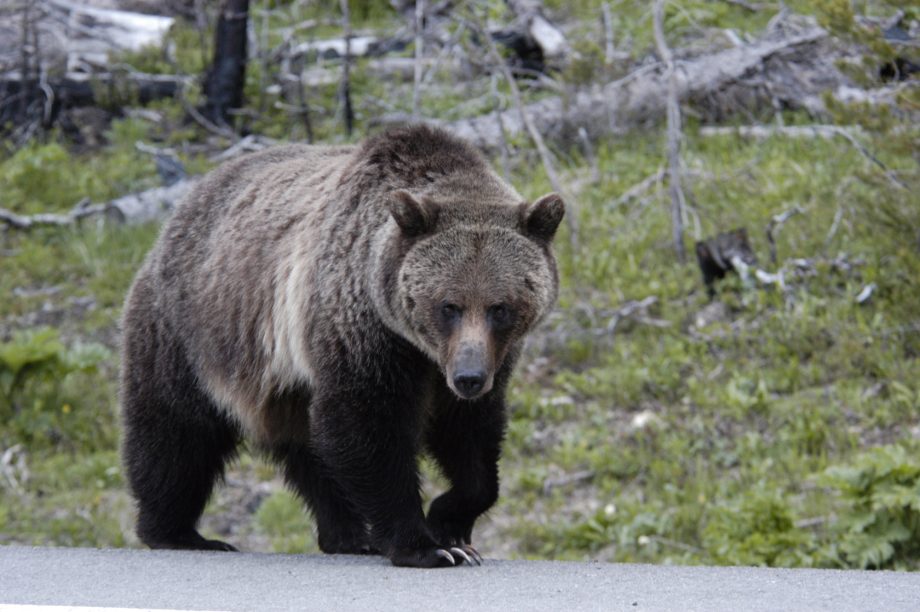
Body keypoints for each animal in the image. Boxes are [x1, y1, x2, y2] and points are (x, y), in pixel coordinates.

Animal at [118, 124, 564, 568]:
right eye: (448, 305)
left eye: (499, 308)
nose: (469, 377)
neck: (420, 349)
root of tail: (181, 208)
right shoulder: (364, 331)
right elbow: (366, 425)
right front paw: (427, 545)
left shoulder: (486, 359)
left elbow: (471, 435)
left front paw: (451, 525)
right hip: (188, 330)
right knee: (177, 432)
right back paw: (179, 532)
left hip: (284, 381)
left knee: (308, 449)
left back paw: (348, 535)